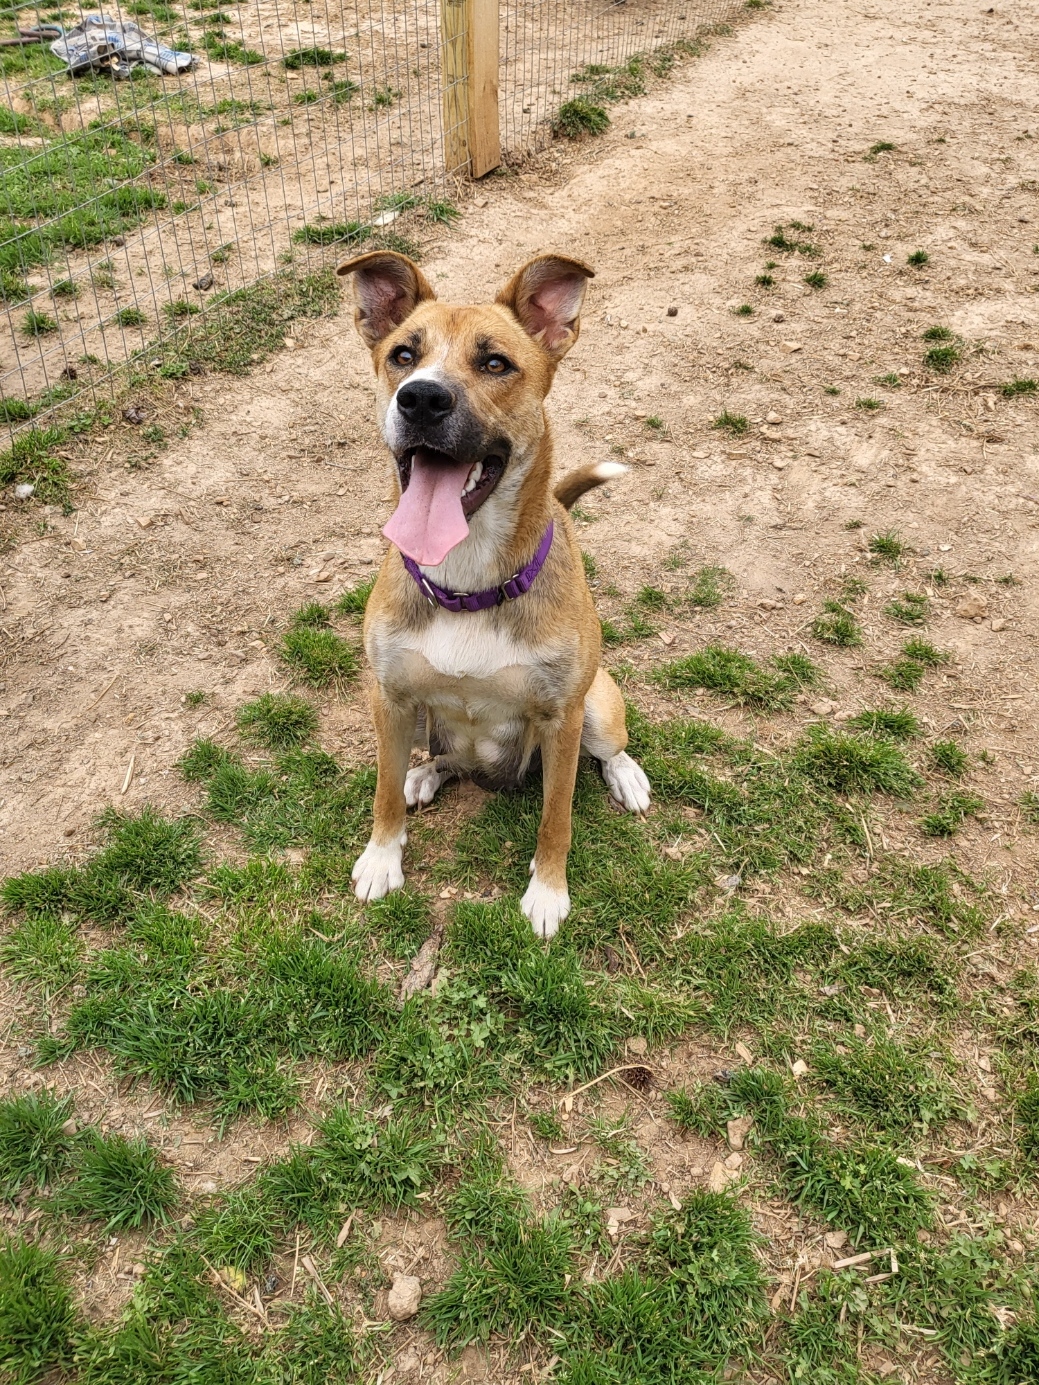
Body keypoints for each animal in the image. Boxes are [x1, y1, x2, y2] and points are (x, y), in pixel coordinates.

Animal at [339, 252, 651, 941]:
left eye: (495, 364)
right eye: (403, 355)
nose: (421, 397)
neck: (467, 583)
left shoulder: (561, 719)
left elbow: (557, 818)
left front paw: (548, 892)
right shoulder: (388, 696)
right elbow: (380, 790)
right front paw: (381, 858)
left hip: (594, 707)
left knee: (609, 749)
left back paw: (627, 776)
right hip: (419, 712)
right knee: (438, 758)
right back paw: (425, 773)